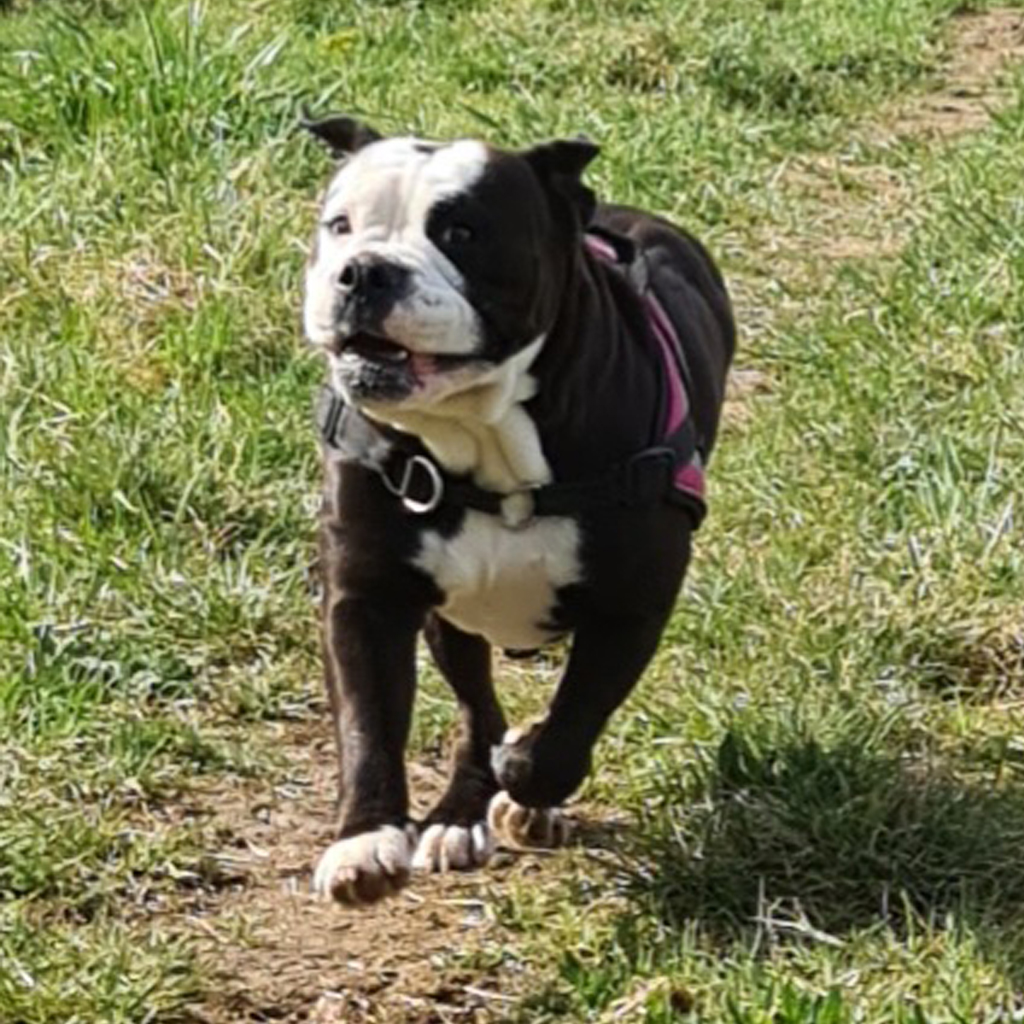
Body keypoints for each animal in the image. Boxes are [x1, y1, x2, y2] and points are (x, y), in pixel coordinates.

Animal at [299, 116, 733, 909]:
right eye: (339, 226)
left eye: (462, 232)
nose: (365, 271)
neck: (482, 437)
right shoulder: (364, 598)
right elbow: (367, 721)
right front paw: (365, 840)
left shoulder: (631, 607)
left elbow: (568, 731)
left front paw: (528, 778)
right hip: (452, 622)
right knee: (476, 705)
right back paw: (458, 813)